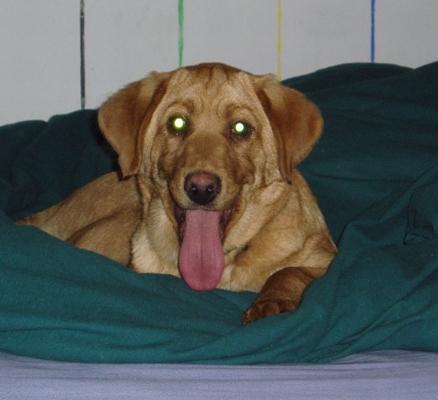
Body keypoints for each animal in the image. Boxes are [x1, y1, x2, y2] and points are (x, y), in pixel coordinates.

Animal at [19, 63, 336, 324]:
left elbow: (291, 271)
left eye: (240, 128)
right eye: (177, 123)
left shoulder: (328, 260)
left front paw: (273, 301)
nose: (201, 188)